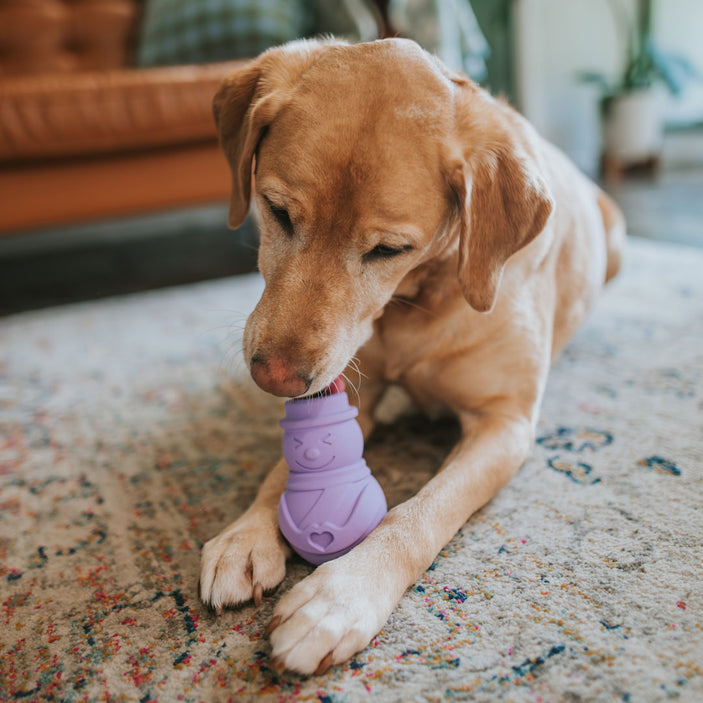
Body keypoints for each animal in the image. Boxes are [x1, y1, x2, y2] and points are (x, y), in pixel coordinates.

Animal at [198, 38, 628, 676]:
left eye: (388, 249)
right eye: (276, 211)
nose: (275, 378)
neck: (419, 297)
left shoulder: (505, 424)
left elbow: (422, 510)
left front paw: (341, 596)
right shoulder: (354, 387)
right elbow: (285, 466)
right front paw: (246, 535)